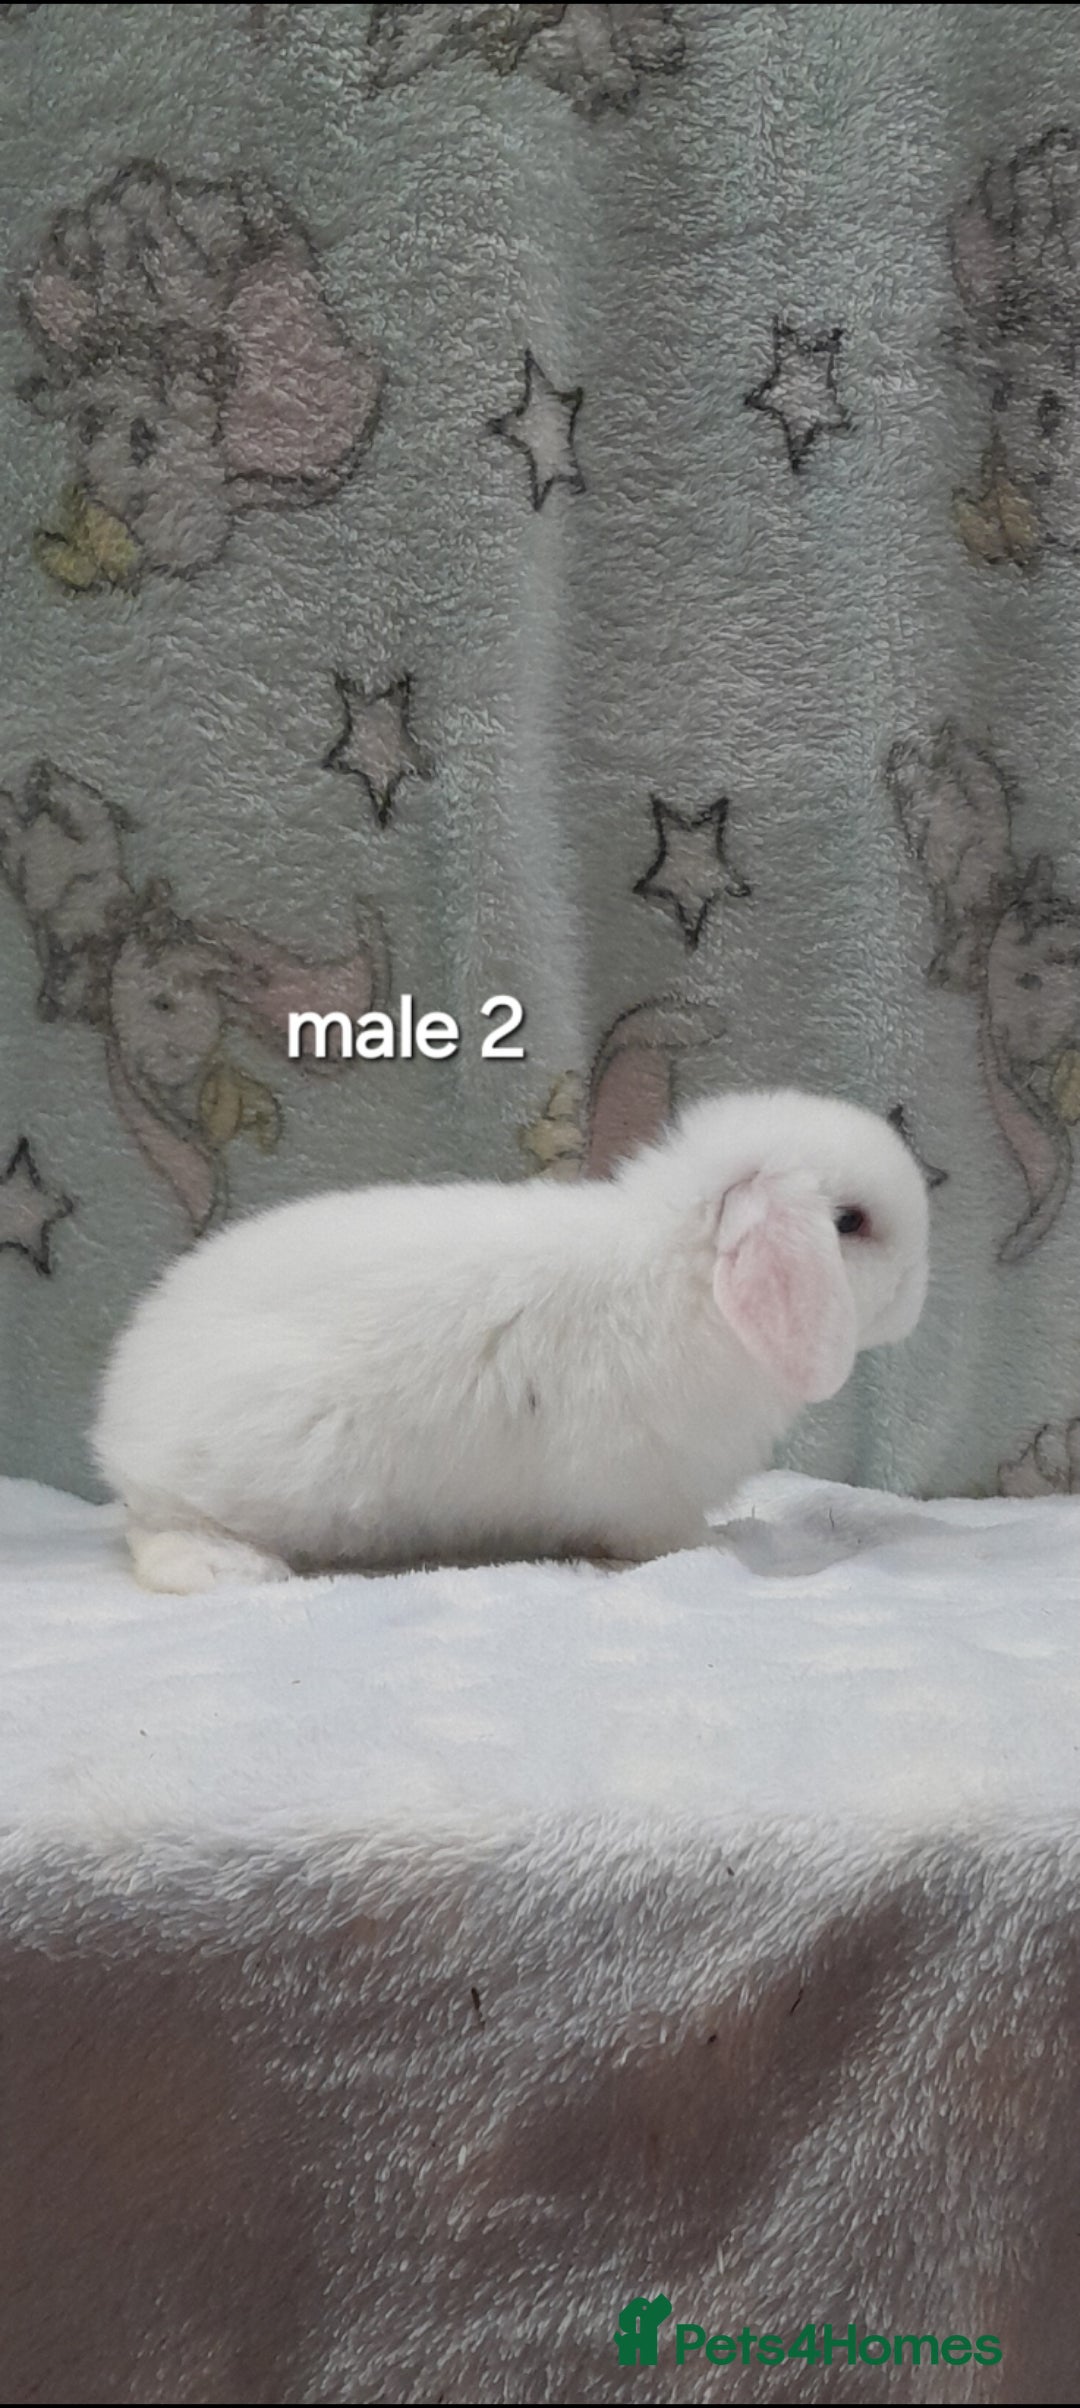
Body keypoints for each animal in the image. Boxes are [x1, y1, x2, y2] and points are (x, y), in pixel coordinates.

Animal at [92, 1088, 930, 1592]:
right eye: (851, 1222)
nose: (919, 1298)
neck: (688, 1273)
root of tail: (121, 1410)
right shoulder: (641, 1487)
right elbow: (665, 1536)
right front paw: (725, 1545)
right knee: (154, 1529)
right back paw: (230, 1569)